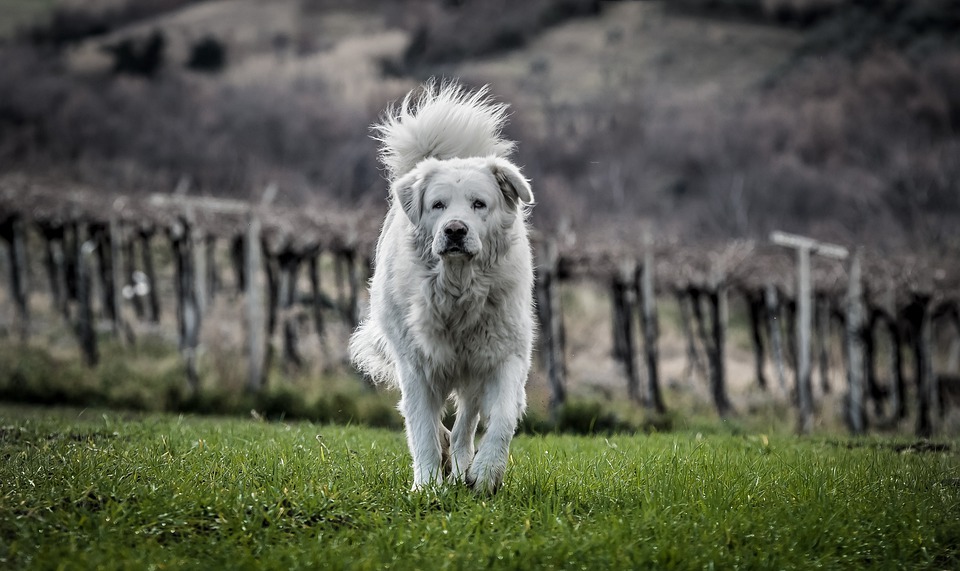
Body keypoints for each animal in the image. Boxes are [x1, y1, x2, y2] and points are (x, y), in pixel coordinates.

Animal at [348, 80, 536, 496]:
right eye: (438, 205)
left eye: (479, 204)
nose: (454, 230)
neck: (458, 289)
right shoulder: (416, 364)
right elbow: (420, 426)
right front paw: (429, 486)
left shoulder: (505, 355)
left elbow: (502, 417)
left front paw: (485, 473)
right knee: (431, 419)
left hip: (473, 369)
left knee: (466, 419)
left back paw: (464, 462)